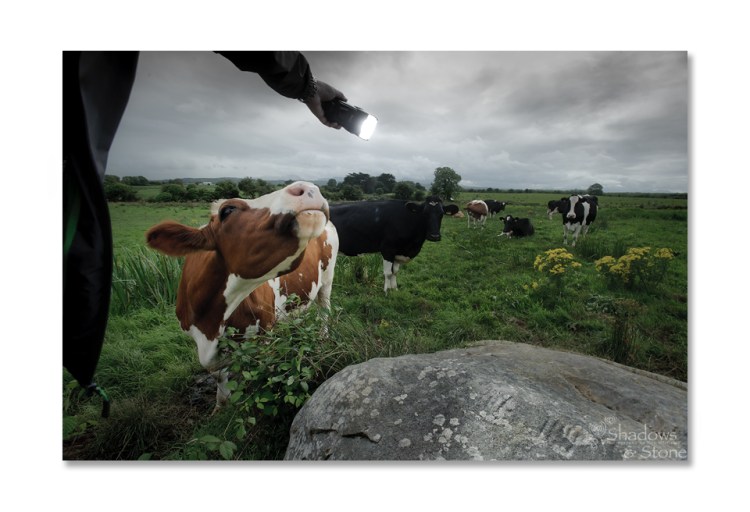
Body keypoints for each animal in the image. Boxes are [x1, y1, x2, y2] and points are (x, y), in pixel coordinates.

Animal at [146, 181, 336, 411]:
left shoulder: (265, 330)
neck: (211, 322)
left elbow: (264, 371)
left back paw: (323, 338)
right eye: (227, 210)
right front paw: (222, 404)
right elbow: (218, 374)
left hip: (327, 279)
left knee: (325, 310)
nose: (308, 187)